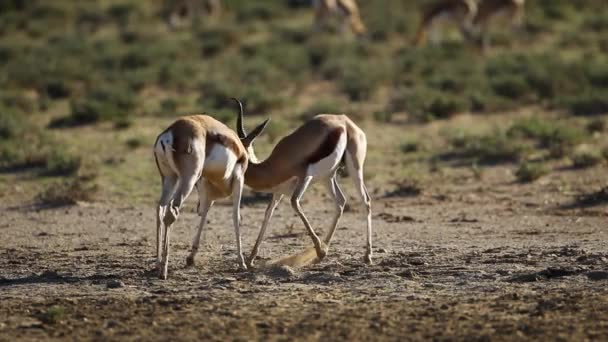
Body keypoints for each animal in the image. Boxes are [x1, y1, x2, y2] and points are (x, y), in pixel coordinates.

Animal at [152, 113, 264, 280]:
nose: (255, 161)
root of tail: (169, 133)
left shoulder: (205, 185)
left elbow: (204, 213)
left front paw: (191, 258)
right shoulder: (239, 179)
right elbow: (236, 217)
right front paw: (242, 263)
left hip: (169, 177)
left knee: (160, 208)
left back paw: (158, 264)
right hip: (189, 178)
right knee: (171, 211)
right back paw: (163, 271)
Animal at [233, 99, 372, 268]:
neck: (273, 166)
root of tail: (344, 120)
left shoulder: (304, 178)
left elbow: (294, 203)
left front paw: (320, 250)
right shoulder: (278, 192)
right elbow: (268, 213)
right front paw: (250, 259)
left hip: (354, 168)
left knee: (365, 200)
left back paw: (367, 256)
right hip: (327, 177)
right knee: (340, 202)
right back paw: (321, 254)